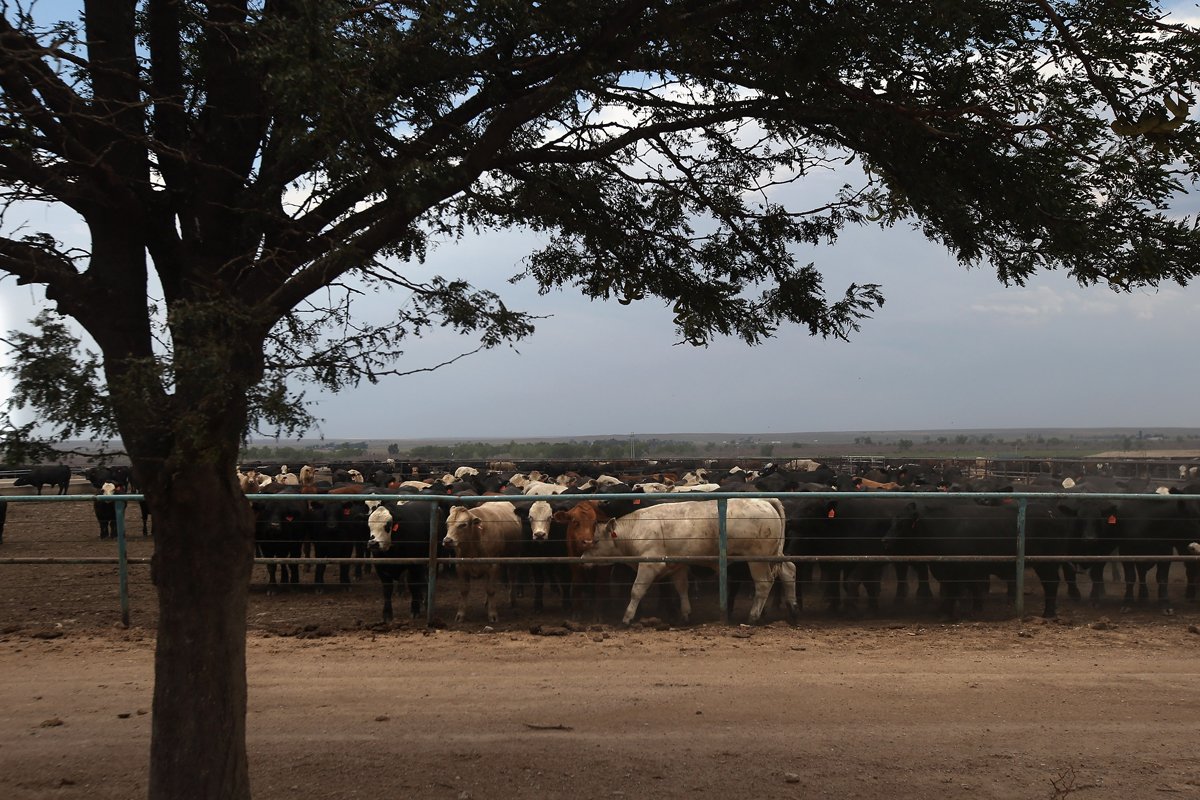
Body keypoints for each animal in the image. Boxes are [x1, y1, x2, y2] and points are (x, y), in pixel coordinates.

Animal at [580, 501, 796, 623]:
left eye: (596, 541)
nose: (582, 560)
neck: (635, 530)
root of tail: (765, 501)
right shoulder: (677, 565)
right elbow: (682, 588)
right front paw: (685, 614)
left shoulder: (650, 564)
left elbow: (637, 590)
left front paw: (627, 617)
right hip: (774, 554)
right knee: (788, 571)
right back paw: (792, 608)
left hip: (757, 558)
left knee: (764, 583)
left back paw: (753, 616)